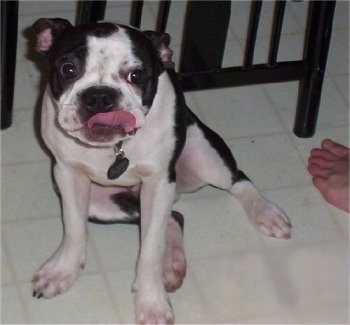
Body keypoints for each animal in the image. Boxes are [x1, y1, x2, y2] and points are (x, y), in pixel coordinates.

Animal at [31, 19, 292, 322]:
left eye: (136, 75)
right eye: (68, 69)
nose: (99, 97)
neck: (114, 148)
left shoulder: (158, 184)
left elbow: (150, 249)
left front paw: (151, 302)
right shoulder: (68, 174)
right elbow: (74, 229)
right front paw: (62, 271)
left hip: (204, 160)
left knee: (238, 179)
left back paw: (266, 212)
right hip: (102, 204)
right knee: (174, 217)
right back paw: (173, 265)